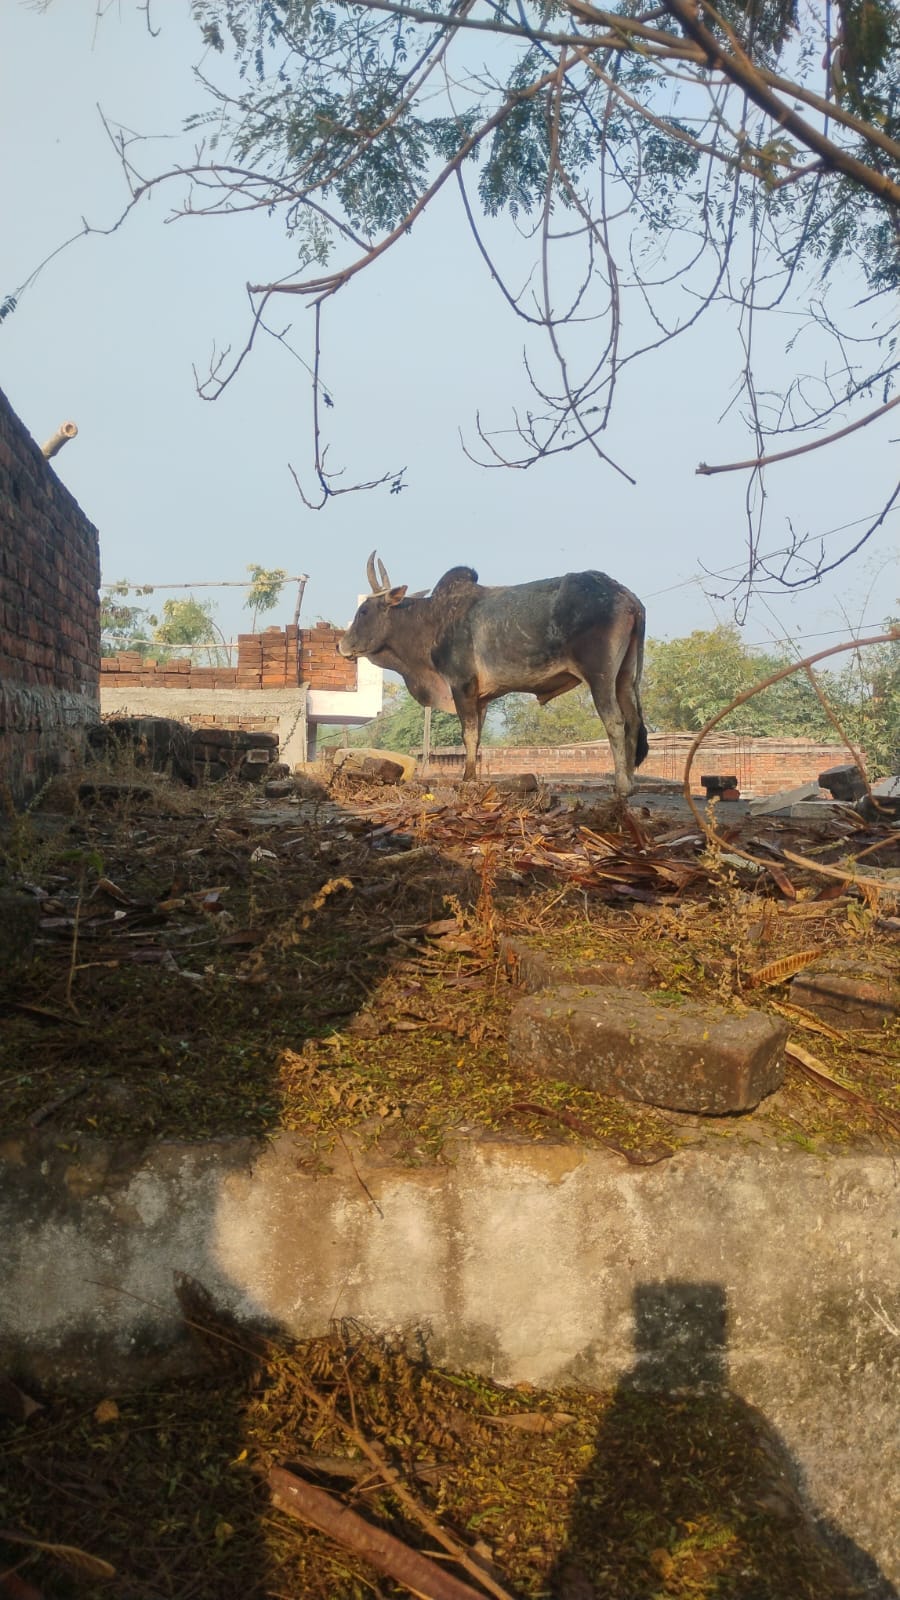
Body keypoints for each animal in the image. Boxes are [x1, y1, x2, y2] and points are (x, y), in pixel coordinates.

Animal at [339, 552, 649, 795]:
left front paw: (466, 779)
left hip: (600, 675)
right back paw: (631, 782)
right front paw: (472, 776)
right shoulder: (482, 696)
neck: (431, 621)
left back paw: (621, 786)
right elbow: (477, 737)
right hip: (626, 676)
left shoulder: (461, 684)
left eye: (364, 610)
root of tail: (627, 597)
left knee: (615, 721)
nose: (341, 644)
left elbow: (468, 734)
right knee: (633, 721)